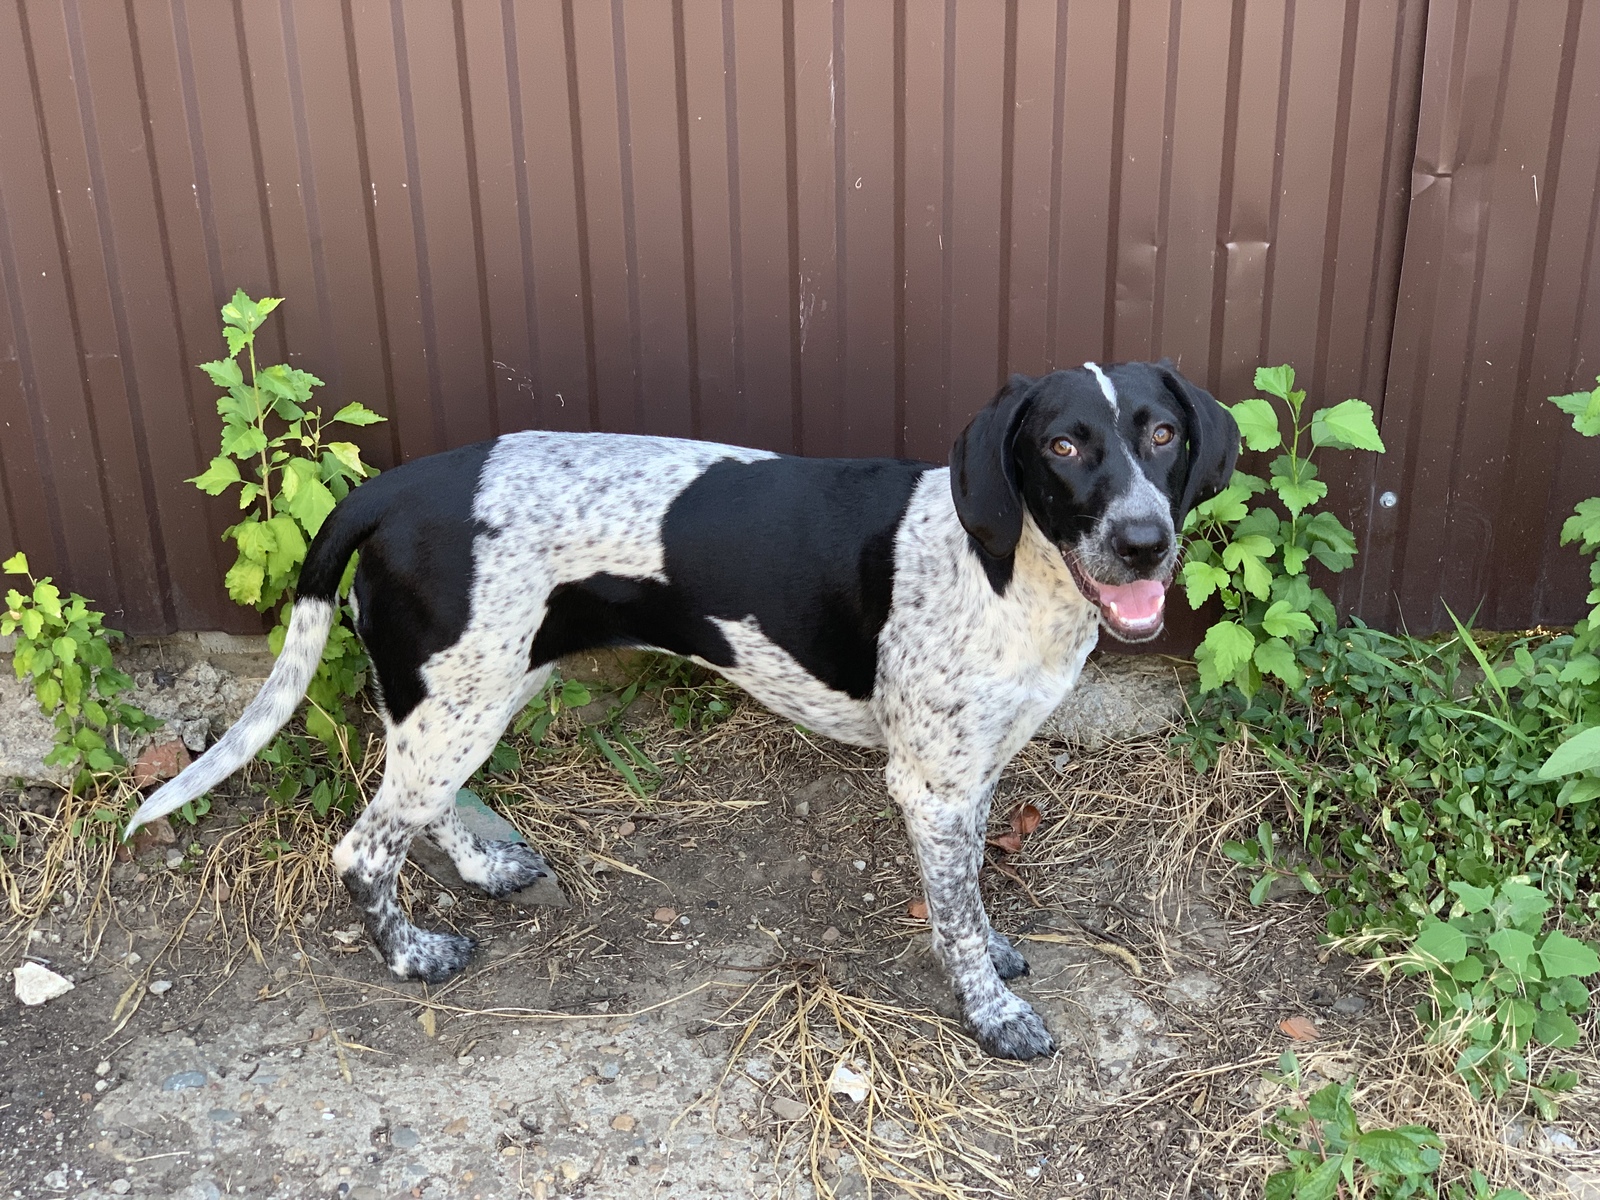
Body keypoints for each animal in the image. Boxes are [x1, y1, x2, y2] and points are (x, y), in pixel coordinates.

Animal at [134, 361, 1235, 1056]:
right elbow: (956, 920)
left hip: (467, 691)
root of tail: (390, 488)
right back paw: (411, 956)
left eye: (1162, 433)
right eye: (1062, 446)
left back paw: (483, 865)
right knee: (364, 847)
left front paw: (998, 957)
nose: (1144, 542)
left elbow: (969, 894)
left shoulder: (978, 770)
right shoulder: (930, 786)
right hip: (464, 697)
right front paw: (991, 1012)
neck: (1009, 570)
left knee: (412, 802)